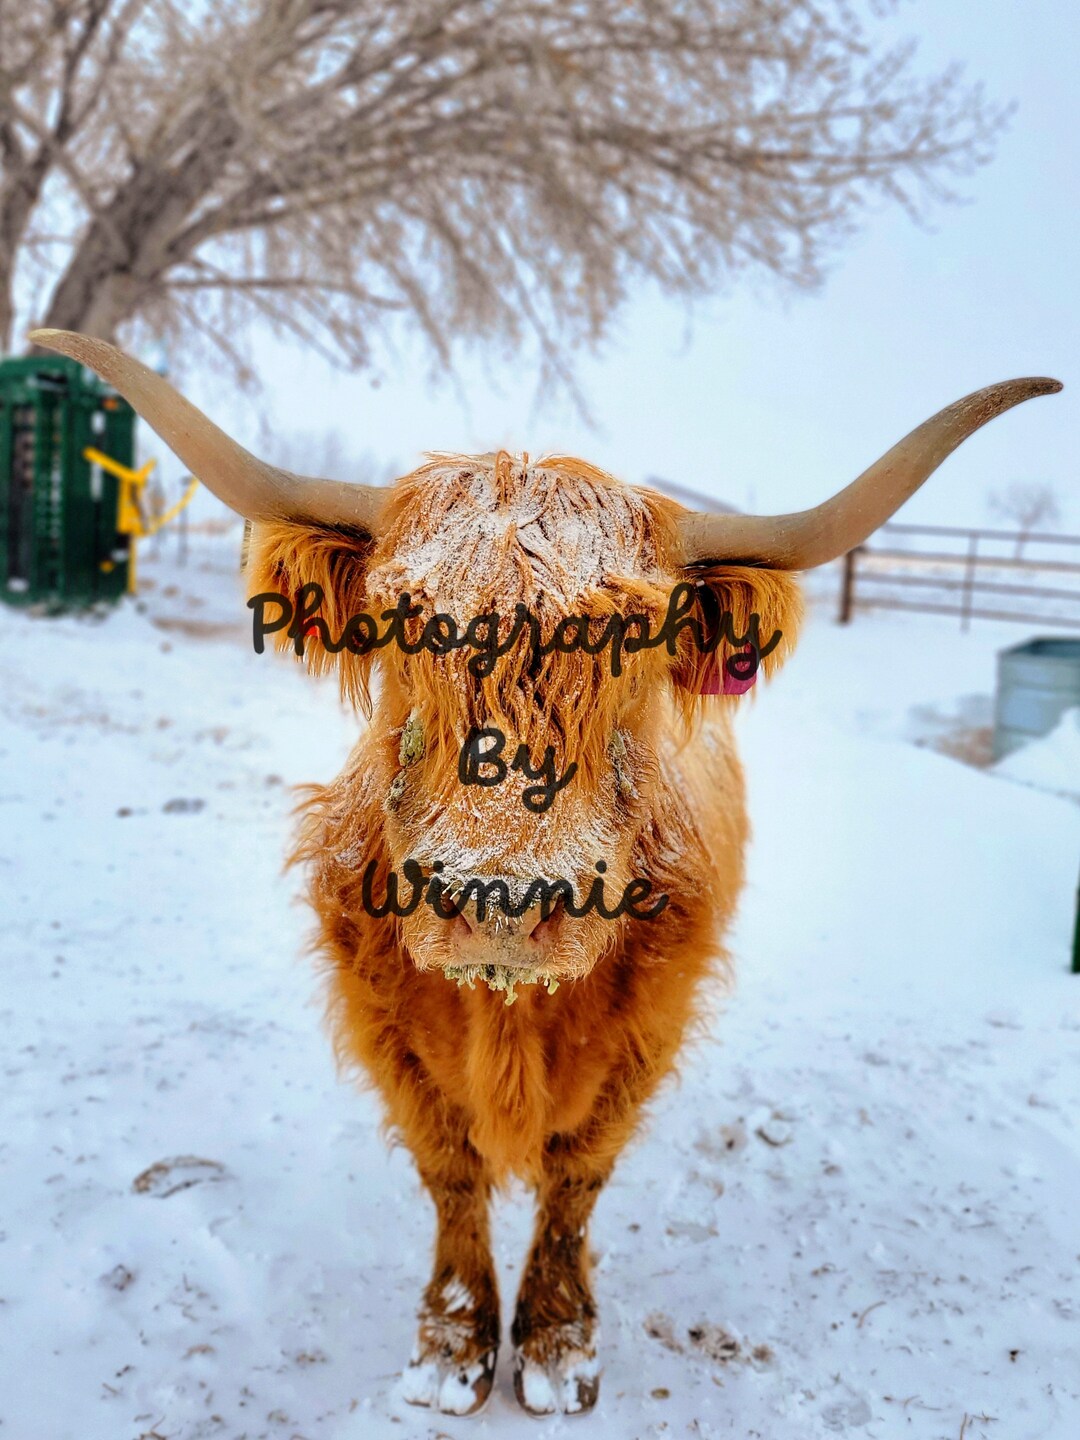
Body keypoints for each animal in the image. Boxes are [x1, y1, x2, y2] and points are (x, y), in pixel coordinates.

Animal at [31, 329, 1059, 1417]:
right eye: (401, 628)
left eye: (638, 647)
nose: (500, 900)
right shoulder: (390, 1034)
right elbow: (452, 1173)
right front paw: (451, 1347)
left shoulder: (644, 1037)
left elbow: (576, 1178)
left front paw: (559, 1346)